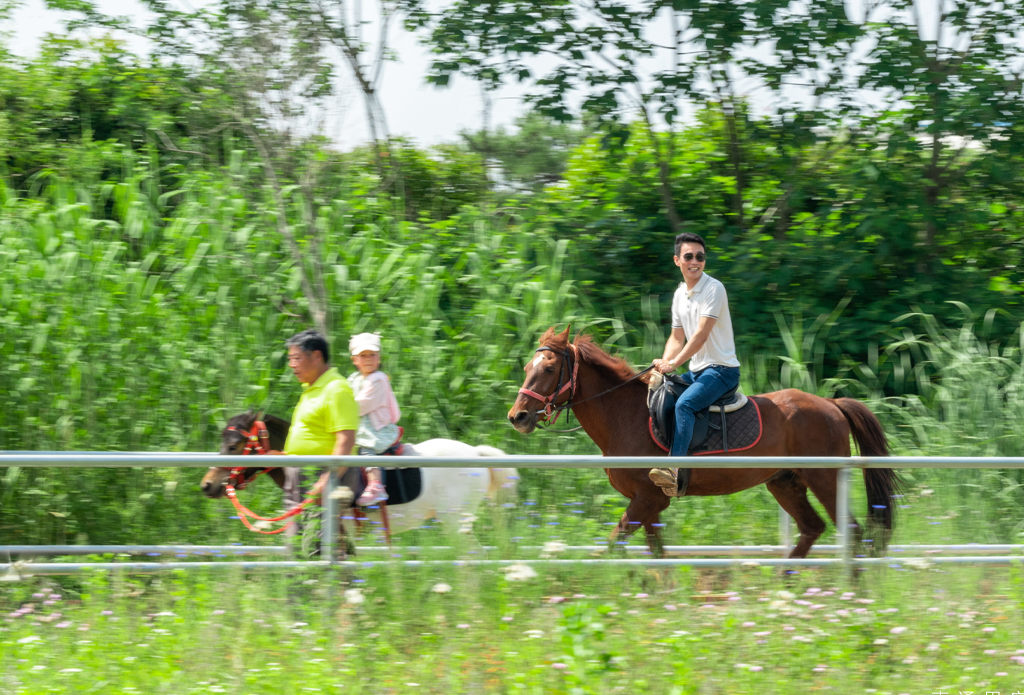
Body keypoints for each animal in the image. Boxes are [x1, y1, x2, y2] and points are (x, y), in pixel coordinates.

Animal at [507, 327, 901, 560]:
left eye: (547, 369)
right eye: (528, 367)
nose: (518, 416)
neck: (624, 415)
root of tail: (831, 404)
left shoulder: (648, 500)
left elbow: (612, 545)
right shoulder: (649, 504)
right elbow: (656, 555)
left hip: (826, 479)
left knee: (853, 533)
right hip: (785, 483)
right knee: (812, 528)